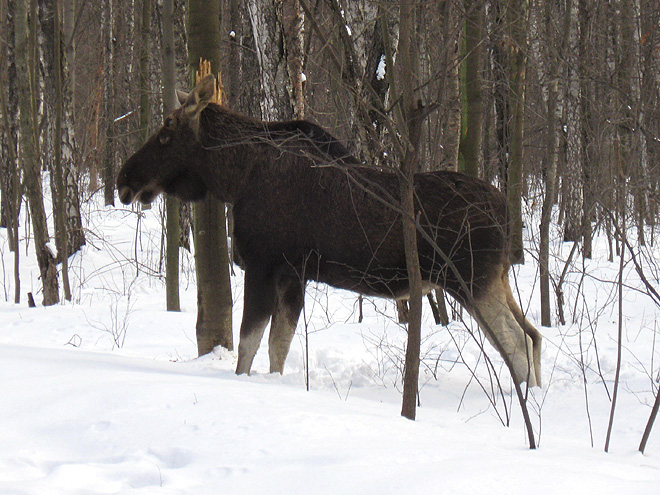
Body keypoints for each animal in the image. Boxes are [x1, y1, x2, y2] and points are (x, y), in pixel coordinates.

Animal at [118, 76, 540, 388]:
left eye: (167, 132)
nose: (124, 179)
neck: (235, 177)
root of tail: (506, 212)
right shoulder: (293, 273)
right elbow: (277, 347)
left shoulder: (263, 264)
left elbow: (248, 346)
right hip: (495, 278)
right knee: (533, 335)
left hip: (471, 280)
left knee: (517, 342)